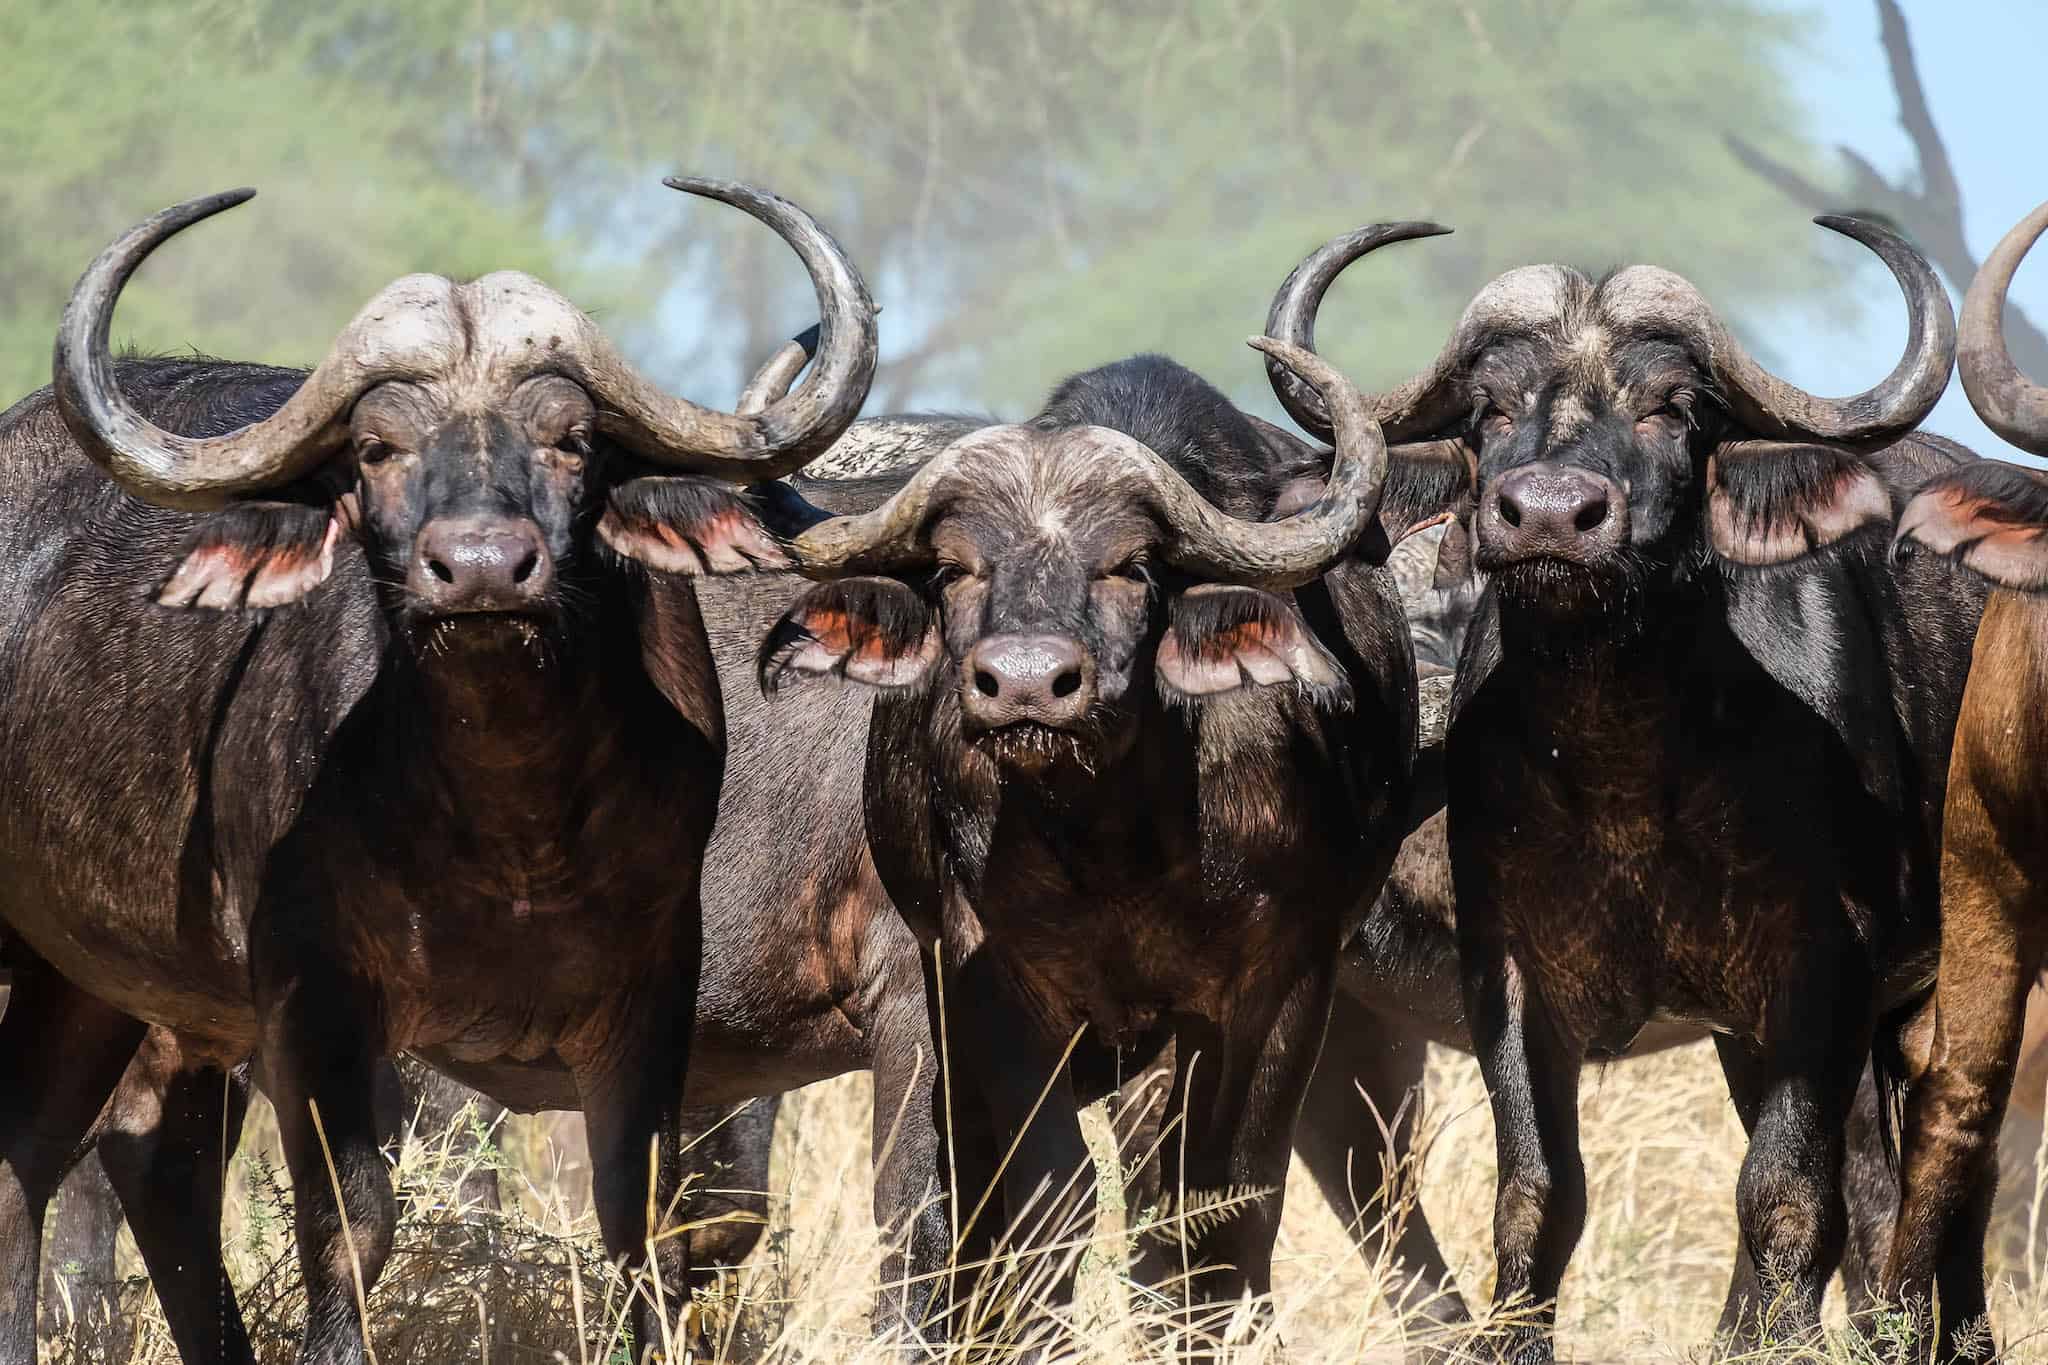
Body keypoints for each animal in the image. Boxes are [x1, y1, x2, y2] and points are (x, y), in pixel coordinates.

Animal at [0, 184, 872, 1365]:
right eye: (376, 448)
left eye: (571, 439)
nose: (482, 571)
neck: (511, 822)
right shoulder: (315, 998)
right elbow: (353, 1219)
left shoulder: (652, 989)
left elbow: (643, 1219)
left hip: (89, 980)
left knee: (48, 1162)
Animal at [1261, 218, 1982, 1358]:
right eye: (1489, 408)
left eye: (1673, 407)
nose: (1552, 517)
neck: (1627, 776)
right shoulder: (1512, 983)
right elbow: (1534, 1199)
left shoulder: (1817, 978)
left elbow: (1786, 1200)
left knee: (1919, 1187)